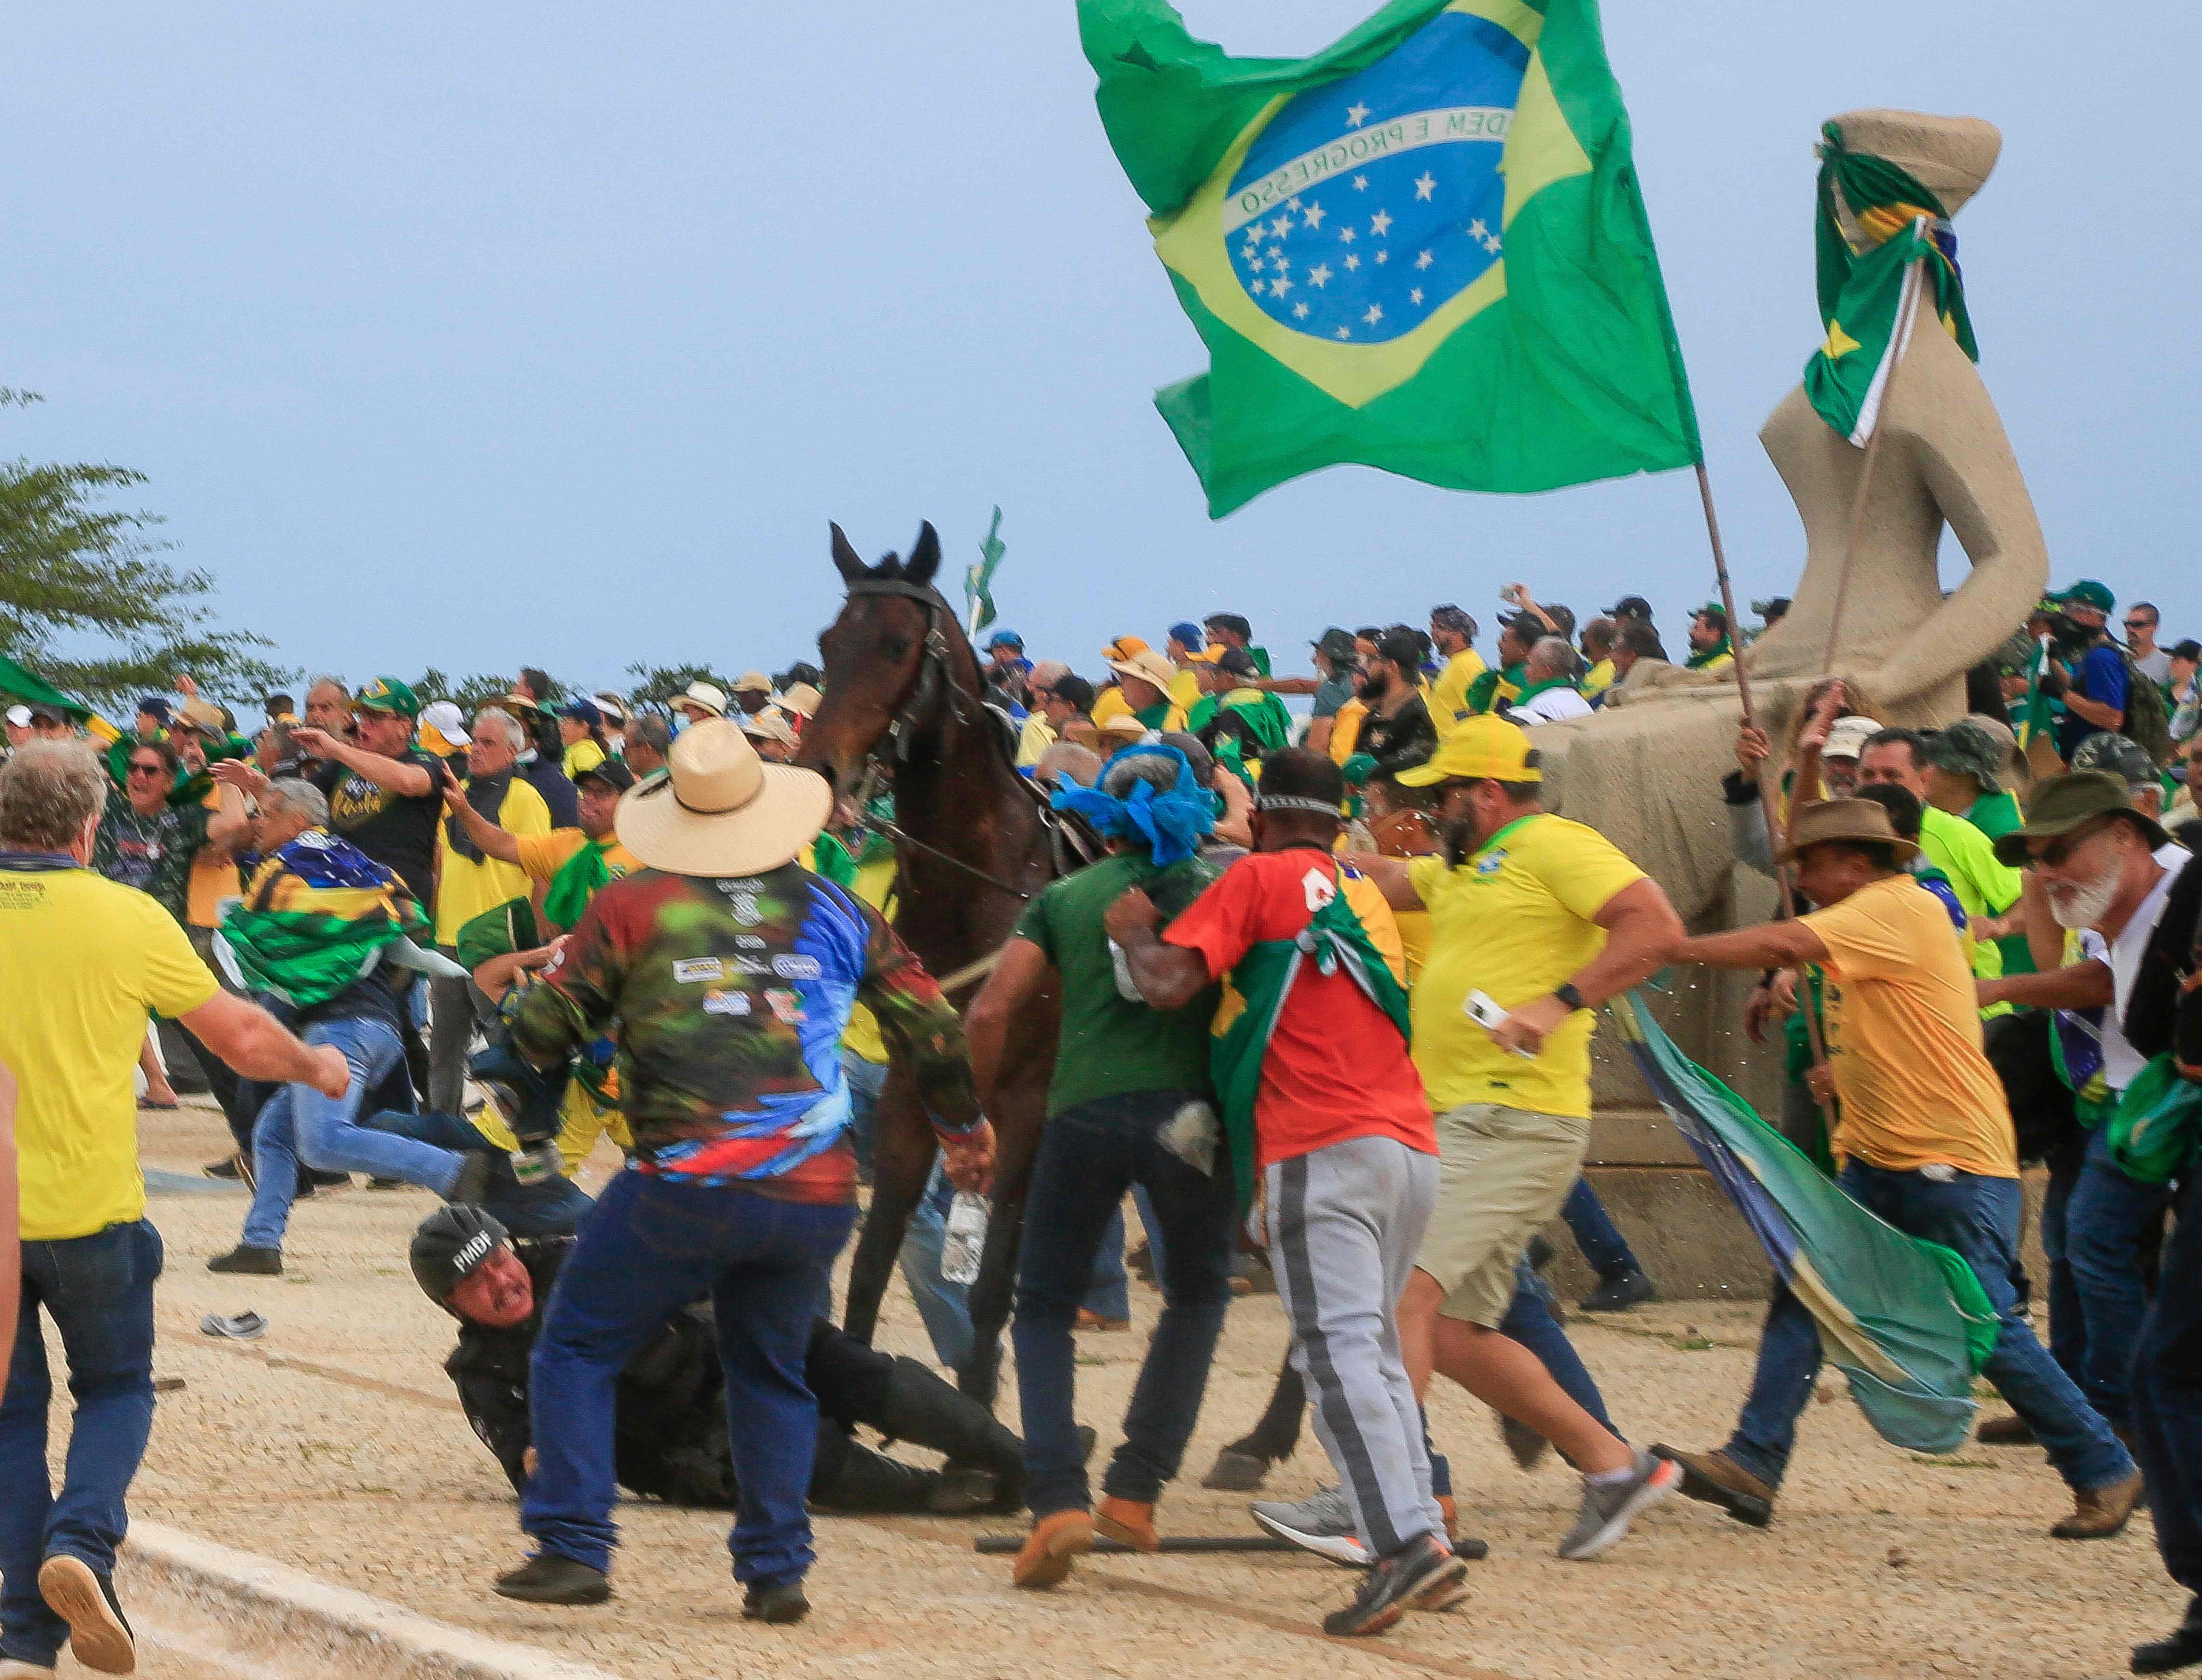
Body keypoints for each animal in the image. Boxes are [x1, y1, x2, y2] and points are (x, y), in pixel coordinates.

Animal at [797, 522, 1070, 1409]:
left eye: (895, 644)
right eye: (829, 643)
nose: (817, 771)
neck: (979, 881)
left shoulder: (1023, 1103)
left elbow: (989, 1286)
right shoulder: (913, 1093)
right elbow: (872, 1263)